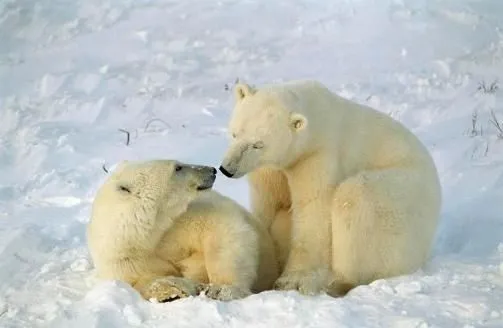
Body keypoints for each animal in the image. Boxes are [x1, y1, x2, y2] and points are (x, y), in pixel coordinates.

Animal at [88, 160, 282, 302]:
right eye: (178, 167)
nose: (212, 170)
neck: (146, 235)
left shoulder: (184, 218)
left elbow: (222, 229)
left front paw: (221, 288)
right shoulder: (125, 257)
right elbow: (142, 281)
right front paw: (173, 289)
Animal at [219, 80, 442, 298]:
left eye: (258, 144)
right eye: (234, 133)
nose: (227, 169)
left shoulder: (317, 157)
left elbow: (313, 211)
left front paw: (294, 280)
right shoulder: (270, 169)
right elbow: (268, 205)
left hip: (403, 195)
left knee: (355, 197)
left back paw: (336, 281)